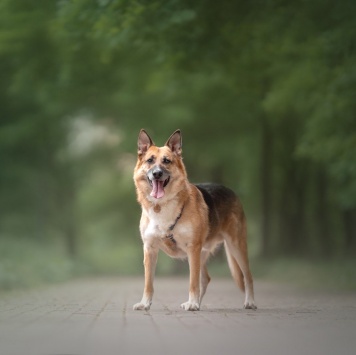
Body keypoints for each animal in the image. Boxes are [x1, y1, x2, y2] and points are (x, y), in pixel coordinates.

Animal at [133, 129, 256, 312]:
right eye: (150, 160)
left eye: (167, 161)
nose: (157, 174)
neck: (162, 206)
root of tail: (230, 190)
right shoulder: (150, 249)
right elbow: (148, 283)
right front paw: (145, 303)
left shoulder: (192, 249)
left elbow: (192, 282)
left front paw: (192, 303)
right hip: (203, 252)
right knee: (205, 278)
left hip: (235, 247)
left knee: (247, 277)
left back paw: (250, 302)